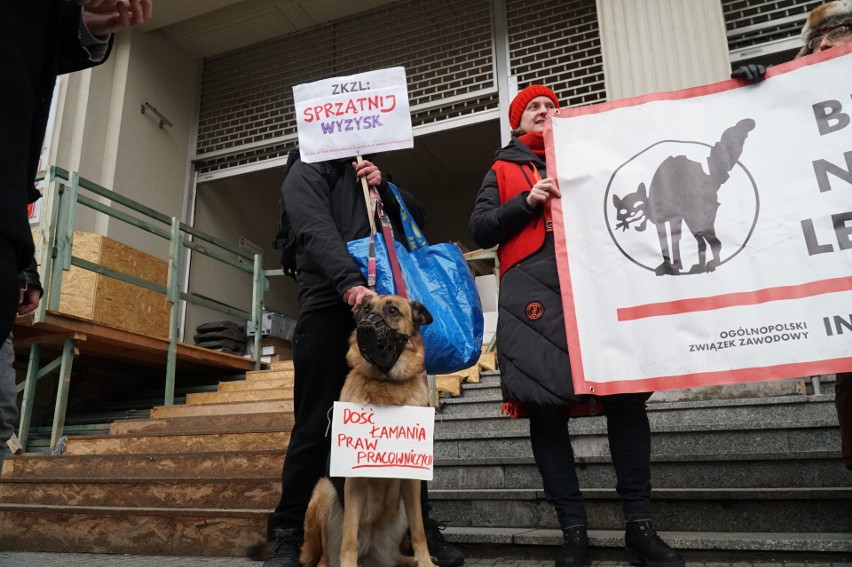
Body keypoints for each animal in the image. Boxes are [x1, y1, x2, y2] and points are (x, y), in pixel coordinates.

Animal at [302, 298, 440, 567]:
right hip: (323, 491)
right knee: (326, 557)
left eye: (393, 310)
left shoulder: (412, 479)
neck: (386, 383)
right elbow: (350, 536)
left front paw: (425, 562)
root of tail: (372, 554)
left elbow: (419, 529)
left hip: (399, 517)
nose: (364, 327)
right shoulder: (353, 480)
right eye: (366, 309)